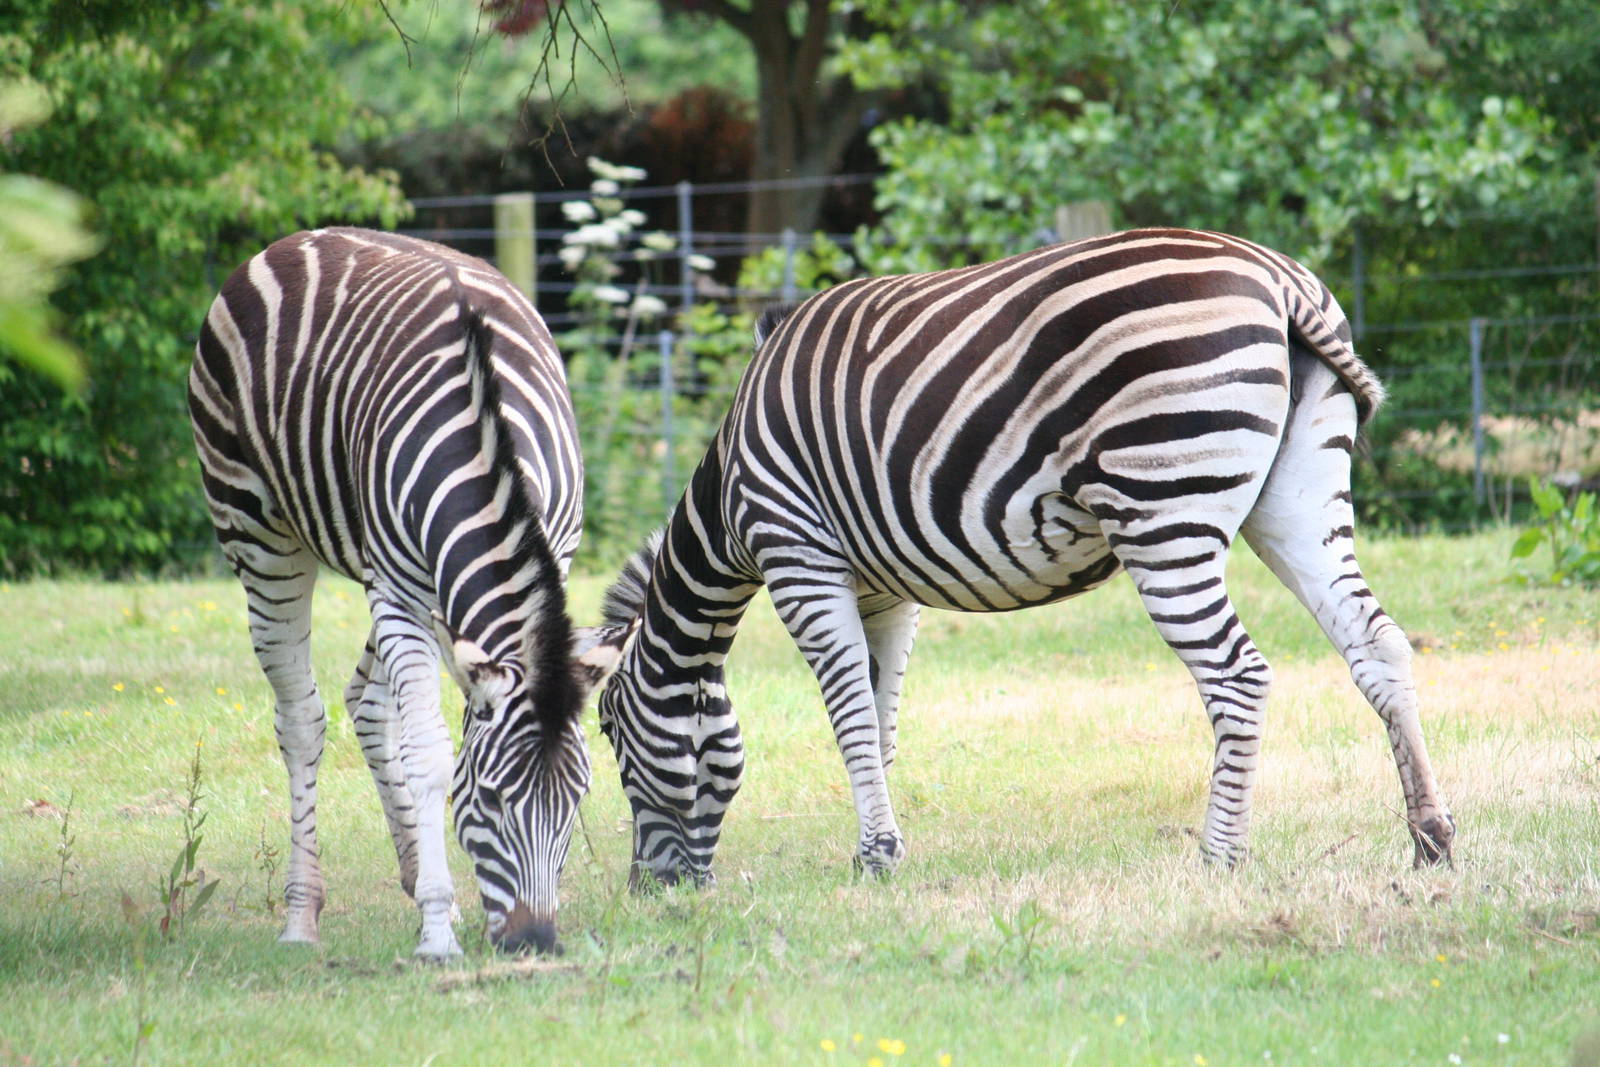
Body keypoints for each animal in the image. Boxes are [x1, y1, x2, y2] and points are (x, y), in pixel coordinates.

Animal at [188, 227, 635, 958]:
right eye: (488, 798)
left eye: (577, 801)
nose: (536, 941)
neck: (490, 446)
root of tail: (300, 237)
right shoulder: (396, 589)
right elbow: (427, 753)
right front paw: (436, 931)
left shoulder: (549, 558)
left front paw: (438, 898)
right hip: (257, 532)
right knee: (302, 717)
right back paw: (302, 915)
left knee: (365, 702)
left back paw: (409, 868)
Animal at [595, 227, 1455, 887]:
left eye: (608, 731)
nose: (651, 889)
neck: (729, 499)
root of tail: (1277, 278)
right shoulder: (882, 589)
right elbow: (877, 716)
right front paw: (884, 843)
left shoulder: (799, 553)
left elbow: (847, 714)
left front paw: (874, 855)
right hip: (1297, 497)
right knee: (1375, 641)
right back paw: (1430, 836)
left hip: (1163, 512)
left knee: (1236, 674)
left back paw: (1219, 857)